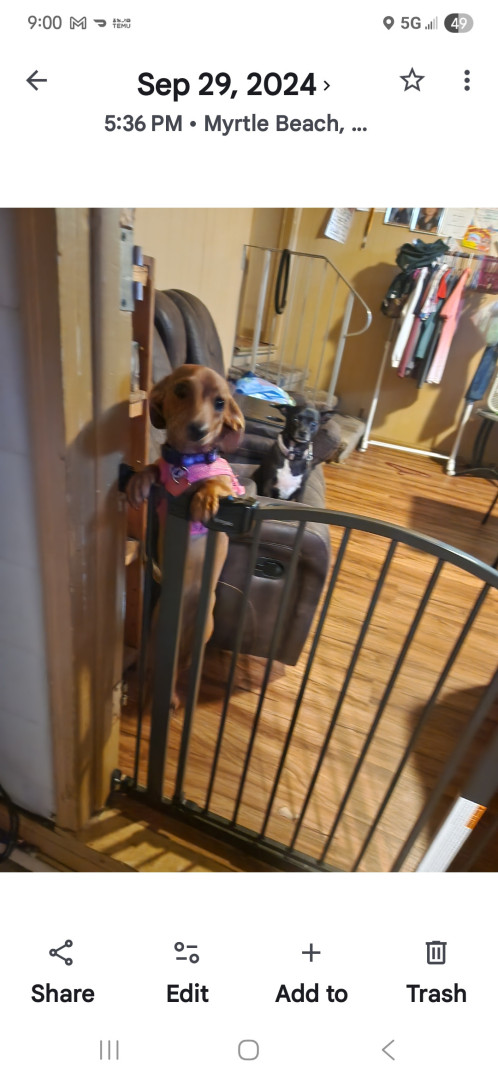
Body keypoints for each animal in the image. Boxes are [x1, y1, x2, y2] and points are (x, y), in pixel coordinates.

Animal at [126, 364, 245, 704]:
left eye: (220, 403)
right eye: (180, 391)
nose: (199, 430)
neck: (187, 463)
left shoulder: (229, 481)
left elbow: (219, 479)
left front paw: (205, 497)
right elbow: (155, 467)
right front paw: (141, 479)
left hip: (202, 634)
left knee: (179, 669)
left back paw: (174, 698)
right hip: (155, 628)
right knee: (154, 668)